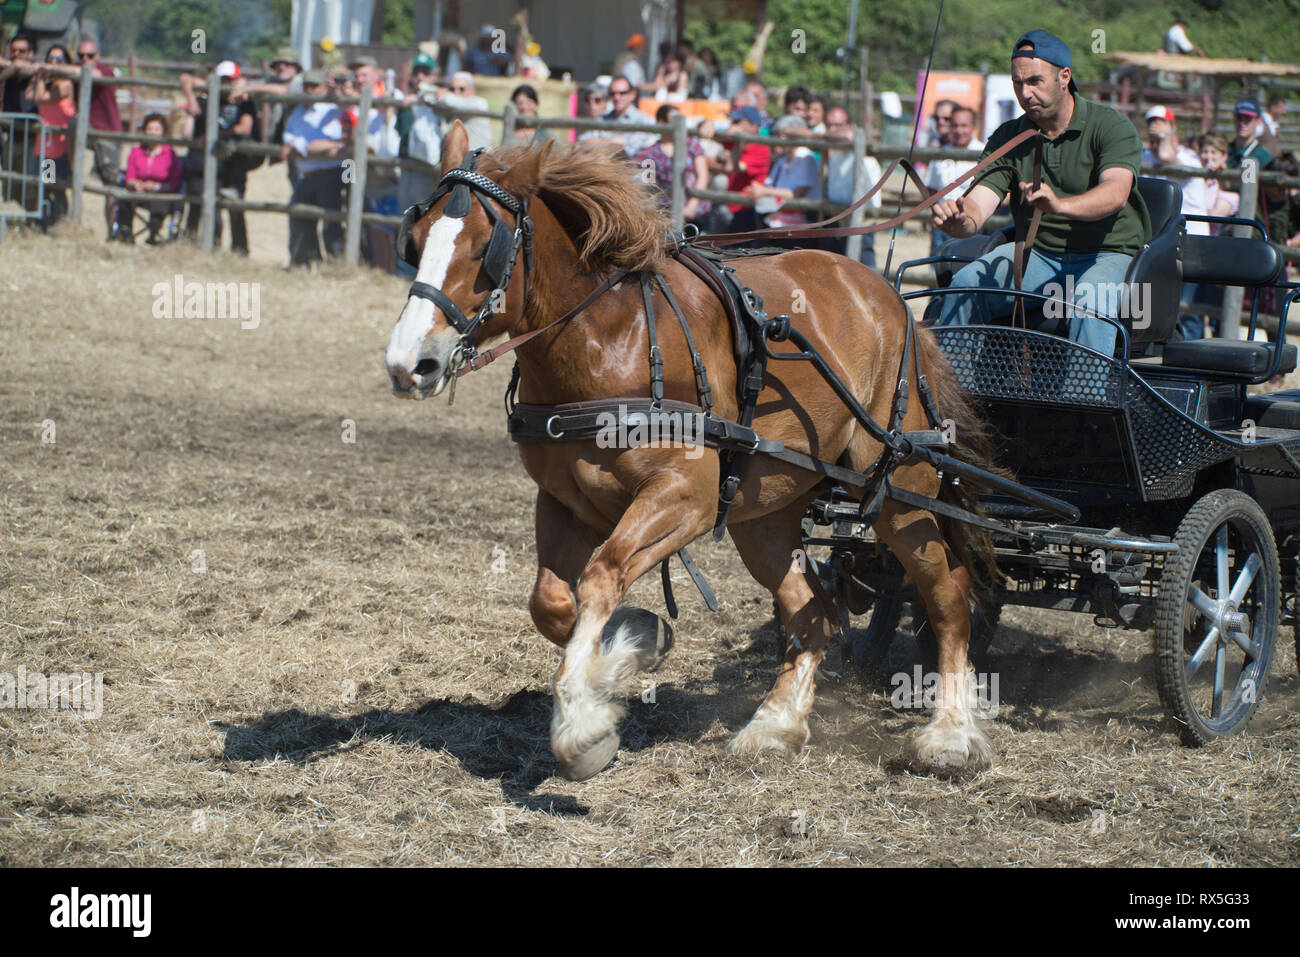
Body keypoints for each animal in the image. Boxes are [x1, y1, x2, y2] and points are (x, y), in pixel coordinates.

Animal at [382, 121, 993, 780]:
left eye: (484, 248)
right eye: (413, 240)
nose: (406, 364)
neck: (610, 339)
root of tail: (890, 300)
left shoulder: (685, 497)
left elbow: (601, 576)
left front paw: (582, 726)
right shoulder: (564, 501)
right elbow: (552, 601)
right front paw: (637, 640)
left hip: (900, 489)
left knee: (948, 598)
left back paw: (950, 735)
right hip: (765, 513)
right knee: (813, 610)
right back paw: (775, 725)